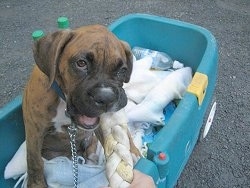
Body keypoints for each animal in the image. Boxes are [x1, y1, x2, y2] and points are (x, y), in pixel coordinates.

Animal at [22, 25, 138, 188]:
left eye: (122, 70)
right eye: (81, 63)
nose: (106, 97)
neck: (63, 102)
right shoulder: (34, 131)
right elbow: (34, 161)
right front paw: (36, 184)